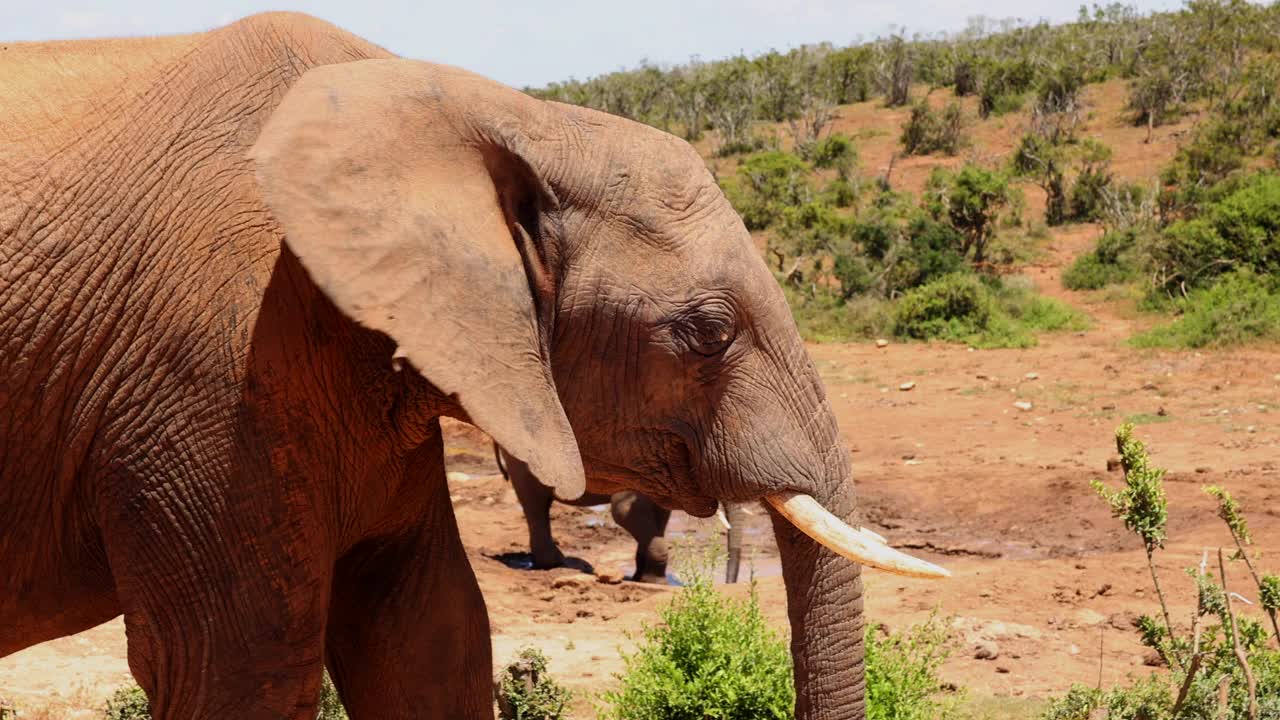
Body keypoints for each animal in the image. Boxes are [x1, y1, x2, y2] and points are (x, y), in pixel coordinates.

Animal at [491, 438, 747, 584]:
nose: (728, 584)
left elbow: (660, 516)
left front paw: (641, 577)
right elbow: (624, 512)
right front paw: (656, 582)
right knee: (535, 502)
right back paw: (554, 563)